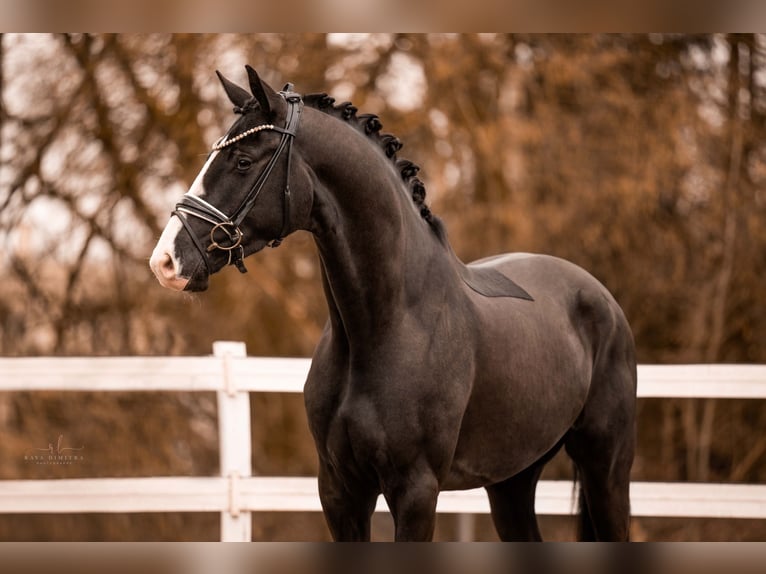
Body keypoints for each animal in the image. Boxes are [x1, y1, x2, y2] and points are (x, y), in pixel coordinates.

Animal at [148, 65, 636, 544]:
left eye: (244, 161)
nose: (166, 261)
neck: (386, 328)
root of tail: (600, 297)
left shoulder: (415, 491)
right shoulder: (340, 491)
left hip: (605, 471)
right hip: (512, 481)